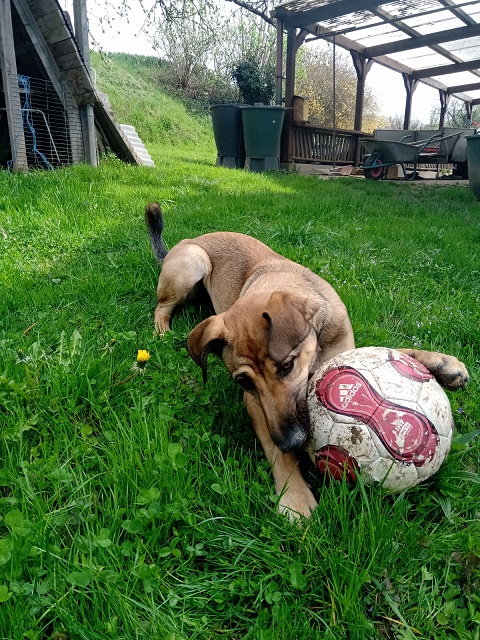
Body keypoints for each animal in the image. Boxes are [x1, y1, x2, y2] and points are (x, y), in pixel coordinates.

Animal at [145, 202, 469, 519]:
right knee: (161, 307)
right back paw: (161, 333)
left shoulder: (344, 351)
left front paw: (441, 363)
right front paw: (295, 497)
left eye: (287, 366)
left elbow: (393, 350)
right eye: (244, 382)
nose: (292, 440)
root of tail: (185, 242)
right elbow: (277, 453)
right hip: (192, 264)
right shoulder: (255, 405)